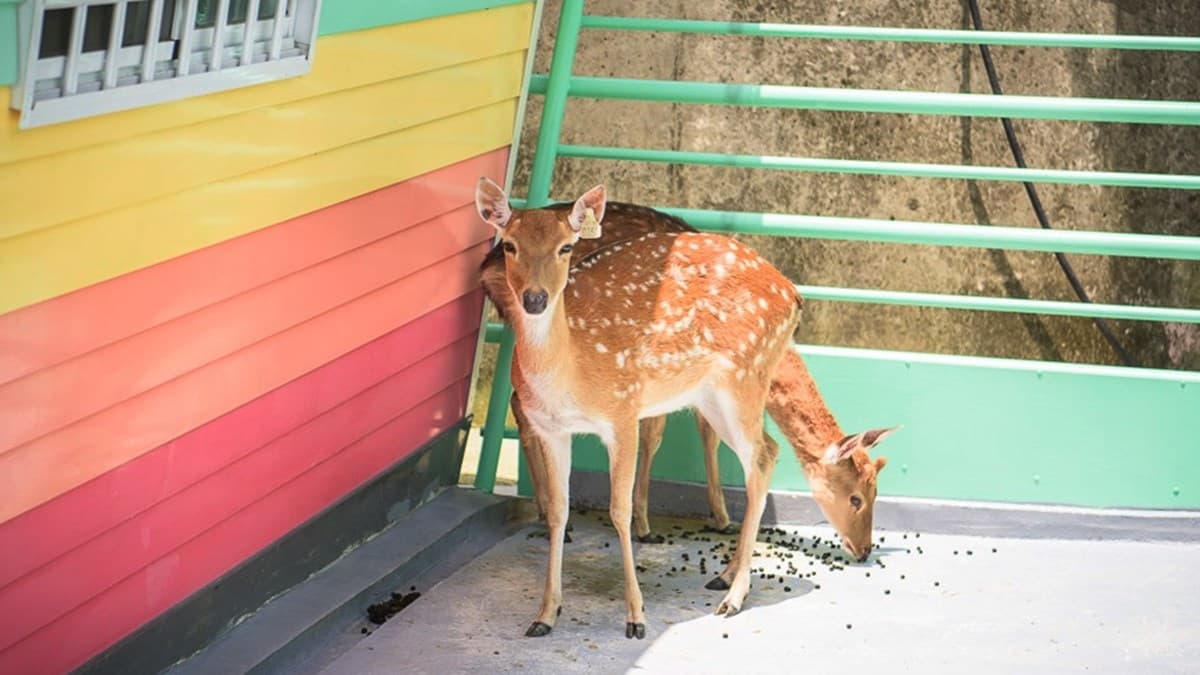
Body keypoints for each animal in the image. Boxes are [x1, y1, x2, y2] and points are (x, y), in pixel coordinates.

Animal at [475, 178, 896, 639]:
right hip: (720, 392)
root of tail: (794, 294)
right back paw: (728, 579)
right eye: (511, 244)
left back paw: (733, 595)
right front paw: (546, 614)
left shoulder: (624, 412)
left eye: (566, 247)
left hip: (739, 383)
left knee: (763, 456)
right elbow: (559, 508)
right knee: (764, 451)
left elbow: (619, 508)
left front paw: (636, 616)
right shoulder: (556, 428)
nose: (865, 549)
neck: (571, 371)